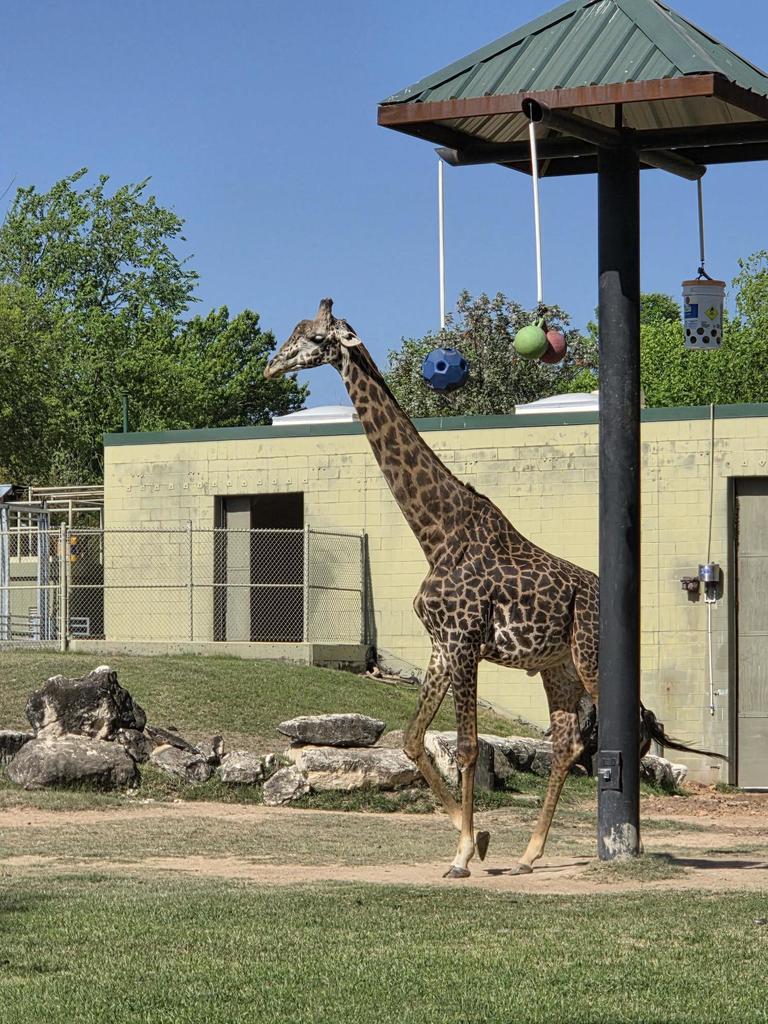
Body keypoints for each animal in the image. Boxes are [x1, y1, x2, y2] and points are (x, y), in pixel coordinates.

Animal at [265, 299, 600, 878]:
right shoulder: (442, 646)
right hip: (557, 668)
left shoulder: (465, 642)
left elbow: (466, 746)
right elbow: (412, 739)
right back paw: (529, 855)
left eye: (314, 339)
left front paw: (464, 856)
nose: (271, 367)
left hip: (591, 658)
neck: (436, 534)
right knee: (566, 745)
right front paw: (474, 840)